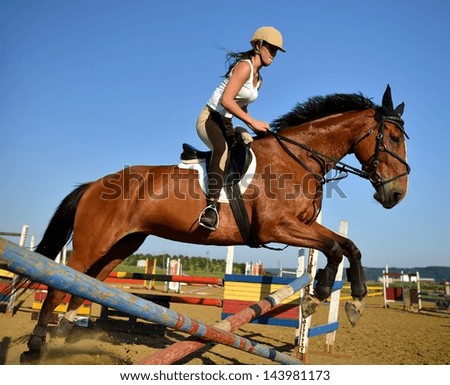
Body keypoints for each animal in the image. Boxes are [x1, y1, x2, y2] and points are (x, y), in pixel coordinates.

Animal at [26, 85, 410, 354]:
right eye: (392, 139)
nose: (396, 195)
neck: (297, 158)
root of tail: (93, 185)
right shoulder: (277, 228)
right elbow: (334, 247)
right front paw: (318, 295)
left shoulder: (302, 225)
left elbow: (348, 246)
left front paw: (354, 301)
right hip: (93, 243)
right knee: (61, 282)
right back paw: (36, 345)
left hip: (122, 245)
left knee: (86, 283)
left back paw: (66, 333)